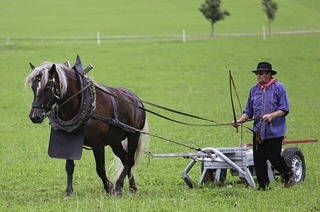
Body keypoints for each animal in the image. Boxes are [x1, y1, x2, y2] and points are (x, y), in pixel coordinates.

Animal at [24, 57, 149, 198]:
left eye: (47, 88)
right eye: (33, 87)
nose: (34, 116)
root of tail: (136, 99)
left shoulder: (98, 144)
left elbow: (100, 169)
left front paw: (109, 187)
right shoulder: (70, 140)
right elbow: (69, 167)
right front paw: (69, 192)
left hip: (134, 135)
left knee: (129, 160)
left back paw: (118, 186)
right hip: (115, 141)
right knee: (124, 158)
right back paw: (132, 186)